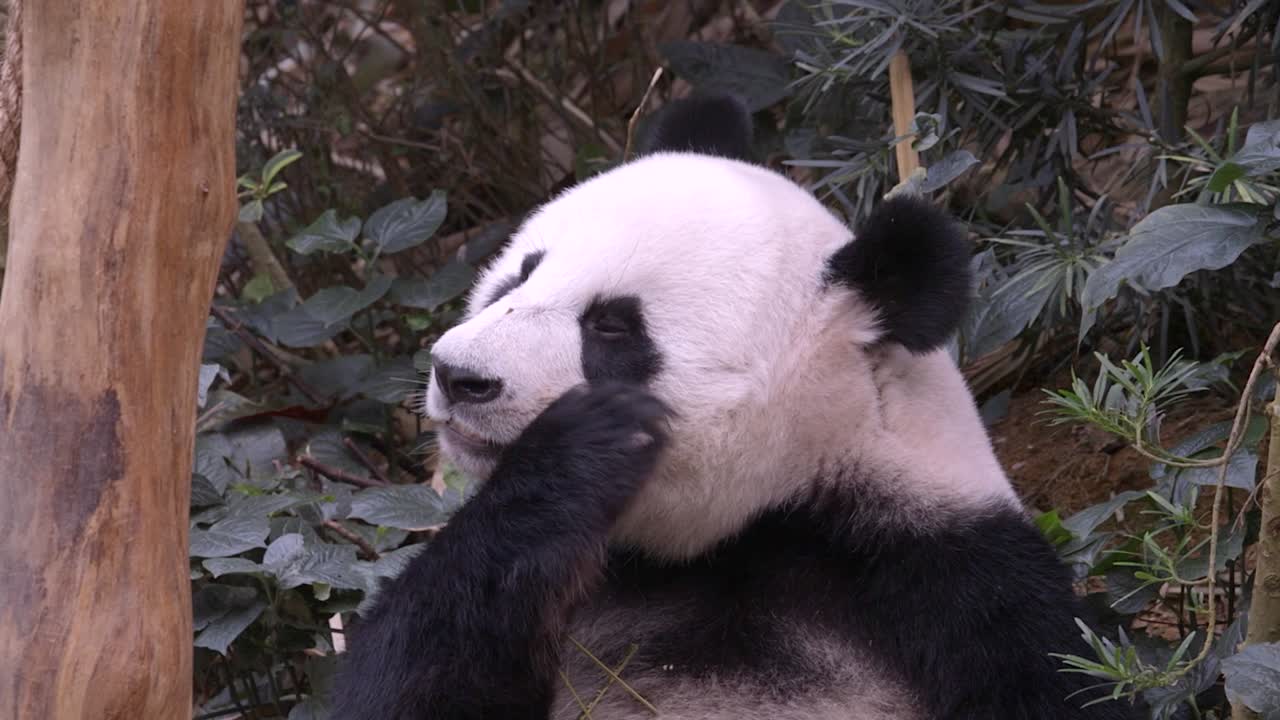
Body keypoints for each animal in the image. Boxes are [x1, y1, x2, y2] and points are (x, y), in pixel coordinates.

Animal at [331, 95, 1135, 720]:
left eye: (613, 326)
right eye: (518, 276)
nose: (459, 376)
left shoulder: (957, 578)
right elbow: (399, 677)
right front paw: (579, 451)